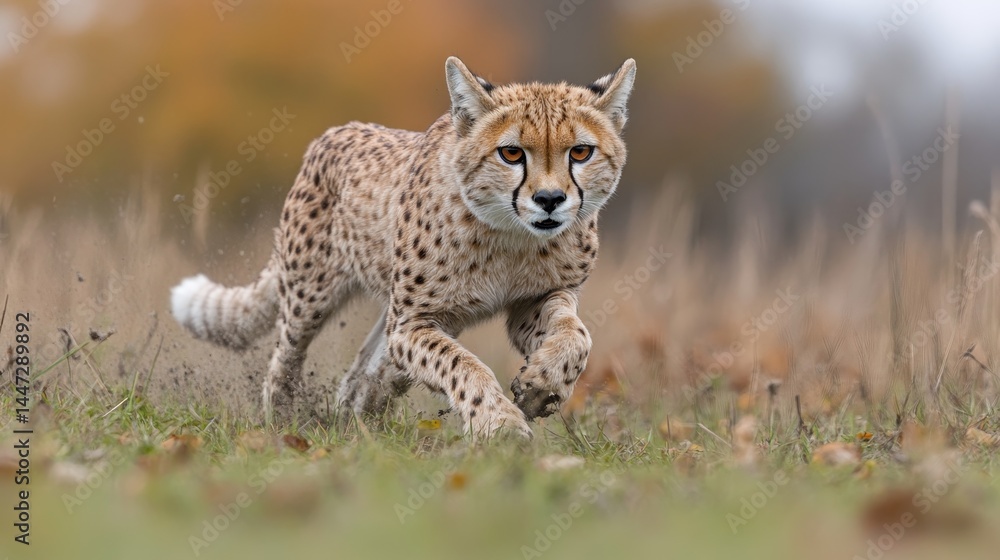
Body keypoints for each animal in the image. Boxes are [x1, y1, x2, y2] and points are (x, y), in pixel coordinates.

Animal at [170, 56, 636, 439]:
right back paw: (283, 423)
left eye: (580, 151)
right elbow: (461, 364)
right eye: (511, 153)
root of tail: (336, 131)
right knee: (285, 359)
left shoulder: (537, 298)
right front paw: (499, 423)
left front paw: (542, 385)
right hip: (310, 295)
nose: (550, 200)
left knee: (367, 367)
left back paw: (358, 413)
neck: (512, 237)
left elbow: (575, 334)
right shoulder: (414, 321)